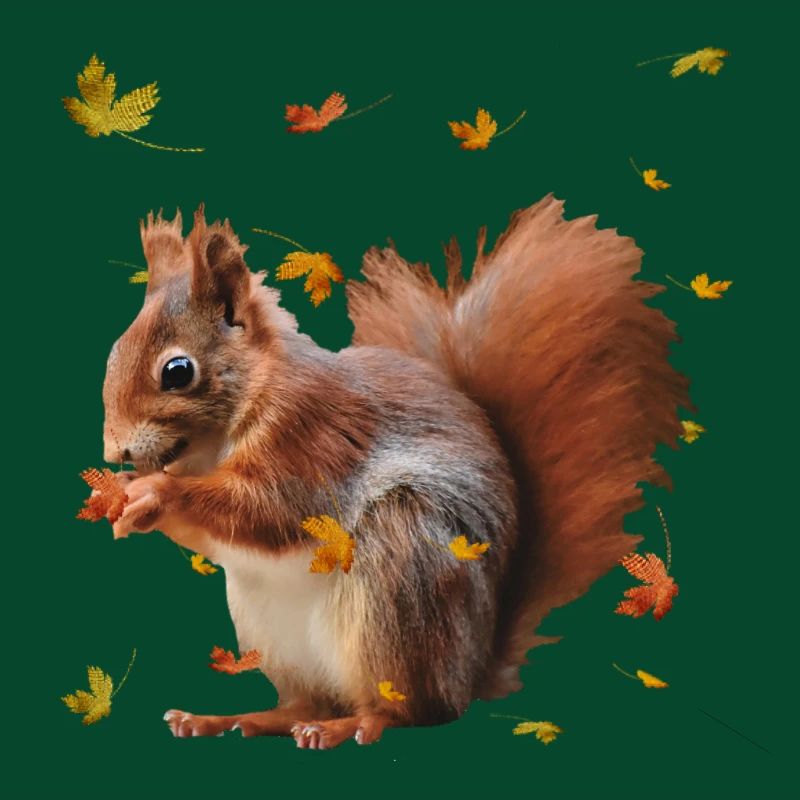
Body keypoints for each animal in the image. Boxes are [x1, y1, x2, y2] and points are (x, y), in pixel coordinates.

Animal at [99, 195, 688, 749]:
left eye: (178, 372)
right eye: (115, 350)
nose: (114, 453)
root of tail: (471, 670)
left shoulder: (309, 438)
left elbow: (266, 511)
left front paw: (156, 491)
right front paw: (124, 498)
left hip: (402, 577)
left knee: (408, 711)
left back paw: (349, 726)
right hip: (269, 629)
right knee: (303, 703)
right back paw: (231, 718)